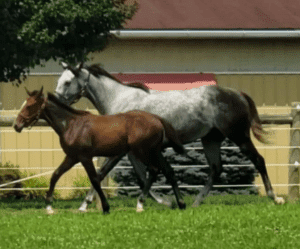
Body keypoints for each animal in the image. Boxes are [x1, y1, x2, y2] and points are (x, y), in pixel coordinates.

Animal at [55, 62, 284, 212]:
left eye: (67, 82)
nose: (56, 101)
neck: (121, 101)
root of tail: (238, 94)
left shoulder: (121, 151)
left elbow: (103, 172)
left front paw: (84, 204)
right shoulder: (135, 152)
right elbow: (148, 176)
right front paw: (167, 201)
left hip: (239, 137)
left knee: (258, 160)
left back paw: (275, 197)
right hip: (210, 140)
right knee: (216, 169)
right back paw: (196, 202)